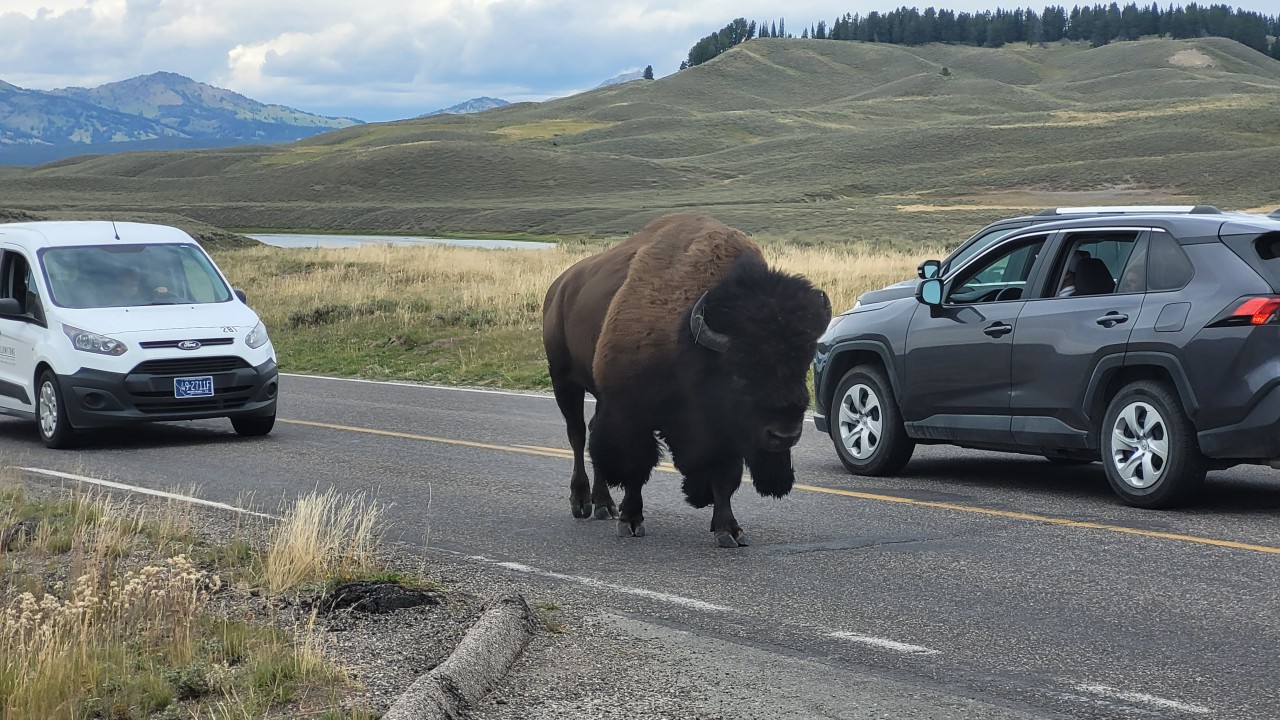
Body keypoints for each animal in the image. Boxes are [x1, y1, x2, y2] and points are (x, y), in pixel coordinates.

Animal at [542, 212, 834, 543]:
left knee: (591, 433)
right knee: (579, 436)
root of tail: (559, 287)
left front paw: (728, 530)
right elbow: (635, 468)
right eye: (739, 373)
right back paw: (582, 503)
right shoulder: (632, 414)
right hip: (564, 381)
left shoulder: (724, 432)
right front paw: (632, 521)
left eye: (802, 365)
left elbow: (725, 477)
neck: (688, 344)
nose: (785, 435)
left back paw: (604, 504)